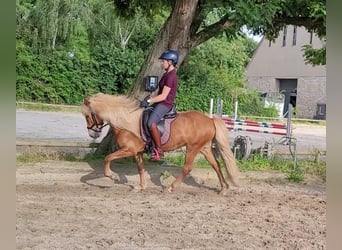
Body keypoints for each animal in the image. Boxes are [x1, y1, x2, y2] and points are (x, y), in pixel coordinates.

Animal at [81, 93, 239, 194]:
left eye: (88, 115)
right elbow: (140, 168)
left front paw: (112, 175)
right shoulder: (137, 152)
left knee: (187, 168)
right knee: (216, 165)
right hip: (204, 148)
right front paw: (141, 186)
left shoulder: (128, 150)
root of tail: (210, 119)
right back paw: (224, 188)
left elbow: (107, 158)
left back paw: (171, 187)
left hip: (193, 148)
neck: (126, 122)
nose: (93, 134)